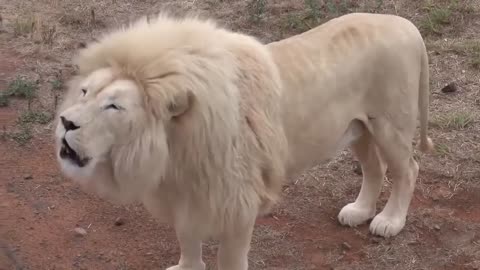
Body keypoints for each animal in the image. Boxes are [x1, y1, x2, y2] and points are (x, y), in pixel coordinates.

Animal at [55, 12, 436, 270]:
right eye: (85, 92)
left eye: (114, 106)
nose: (66, 122)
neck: (172, 149)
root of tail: (405, 24)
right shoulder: (184, 193)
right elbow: (187, 239)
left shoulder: (236, 201)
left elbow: (229, 257)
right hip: (357, 127)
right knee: (375, 168)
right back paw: (359, 211)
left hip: (390, 124)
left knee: (408, 169)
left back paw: (389, 221)